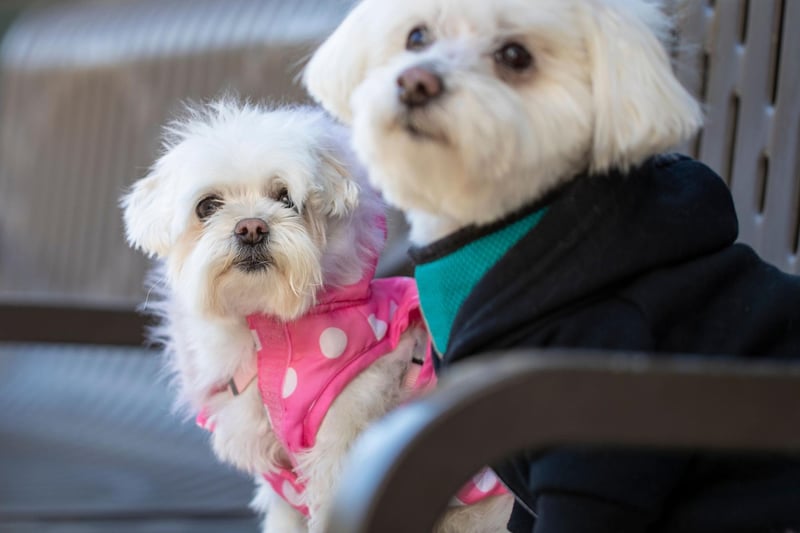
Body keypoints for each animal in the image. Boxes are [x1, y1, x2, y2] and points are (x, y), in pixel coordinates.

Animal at [123, 101, 512, 532]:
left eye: (286, 199)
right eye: (207, 206)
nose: (251, 227)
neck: (263, 329)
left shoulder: (341, 449)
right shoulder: (283, 489)